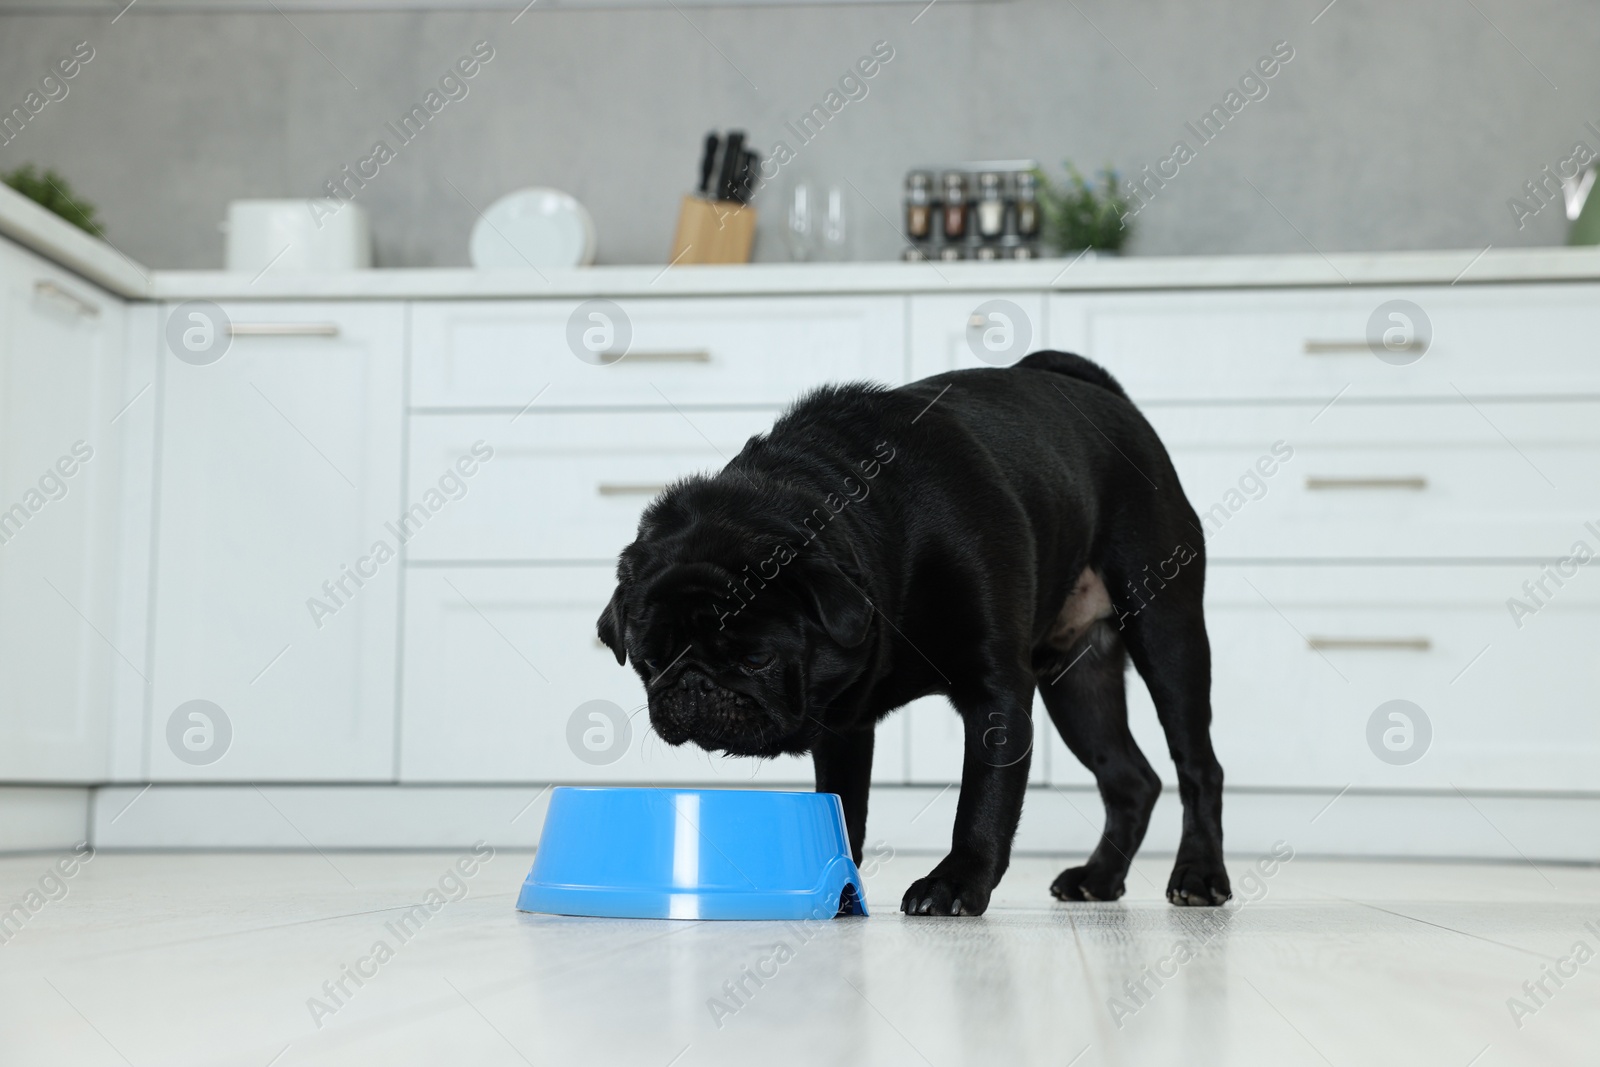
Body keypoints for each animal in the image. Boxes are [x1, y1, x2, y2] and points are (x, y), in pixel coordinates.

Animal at [595, 351, 1228, 921]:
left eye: (755, 660)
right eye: (651, 662)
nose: (693, 685)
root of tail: (1110, 400)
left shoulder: (996, 691)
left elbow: (984, 799)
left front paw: (955, 884)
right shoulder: (843, 724)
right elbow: (843, 806)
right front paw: (840, 886)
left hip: (1166, 632)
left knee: (1197, 765)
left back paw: (1199, 876)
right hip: (1077, 683)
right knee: (1131, 780)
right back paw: (1099, 877)